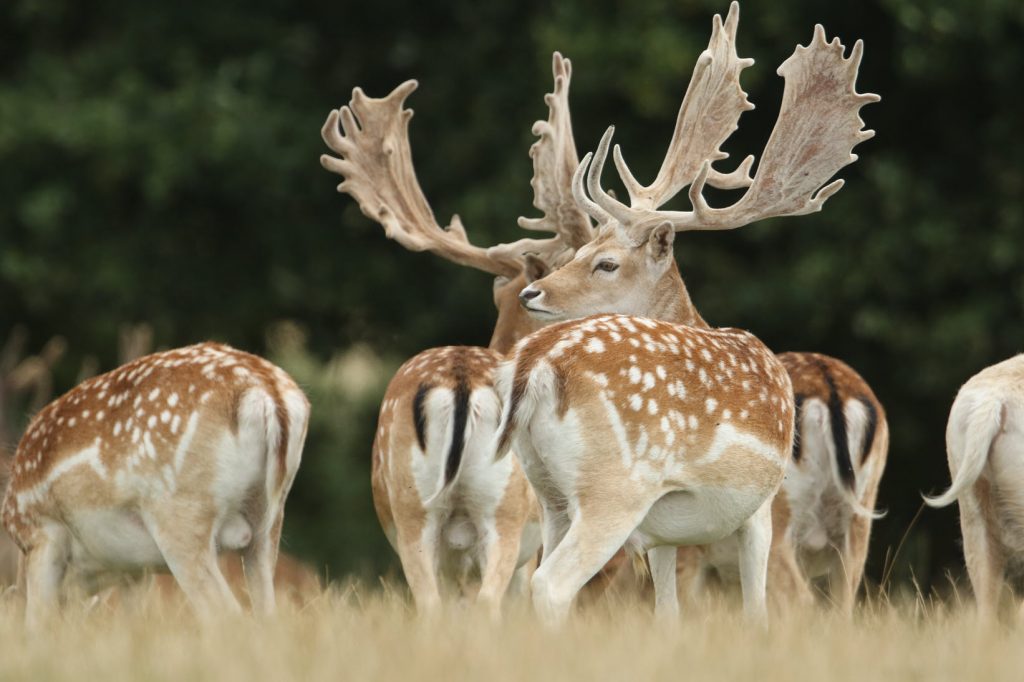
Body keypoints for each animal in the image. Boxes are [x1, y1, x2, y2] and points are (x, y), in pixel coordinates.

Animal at [2, 342, 309, 622]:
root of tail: (265, 391)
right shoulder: (134, 570)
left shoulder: (40, 534)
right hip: (268, 523)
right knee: (266, 613)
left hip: (181, 516)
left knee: (226, 614)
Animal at [495, 2, 880, 622]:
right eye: (577, 254)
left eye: (603, 262)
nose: (534, 295)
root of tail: (536, 369)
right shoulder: (759, 510)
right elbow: (757, 610)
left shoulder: (663, 536)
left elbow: (668, 615)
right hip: (615, 489)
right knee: (551, 585)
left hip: (550, 492)